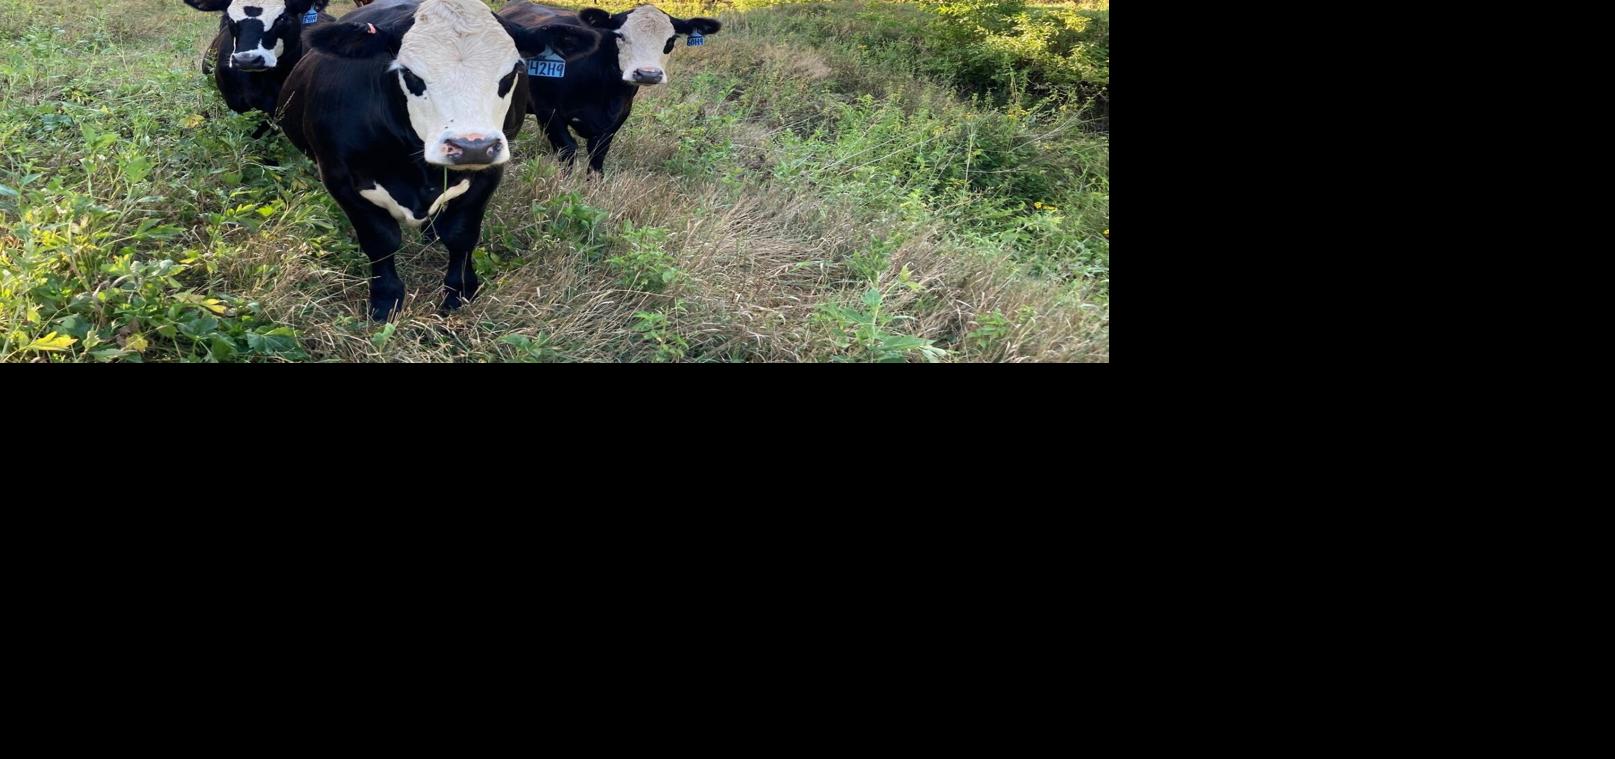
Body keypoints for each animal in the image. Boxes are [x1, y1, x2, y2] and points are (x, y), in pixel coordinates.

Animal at [276, 0, 600, 320]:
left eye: (511, 74)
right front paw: (386, 299)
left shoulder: (489, 173)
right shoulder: (338, 177)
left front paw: (459, 290)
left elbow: (460, 233)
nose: (472, 147)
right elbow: (380, 239)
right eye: (410, 75)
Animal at [496, 3, 721, 173]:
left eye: (671, 40)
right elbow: (568, 149)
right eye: (620, 36)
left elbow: (598, 155)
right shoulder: (547, 110)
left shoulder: (619, 116)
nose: (648, 74)